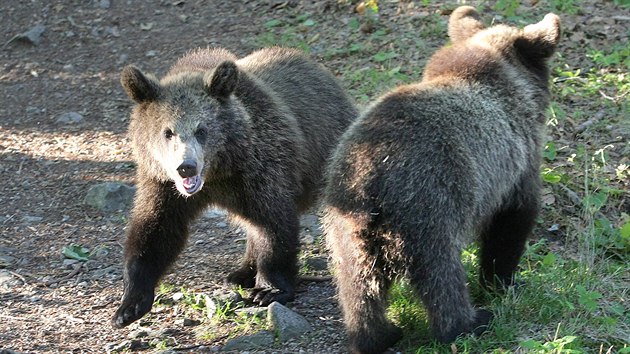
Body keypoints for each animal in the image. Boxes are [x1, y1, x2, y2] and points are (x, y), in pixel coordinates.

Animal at [112, 46, 360, 326]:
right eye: (168, 132)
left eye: (201, 130)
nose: (186, 167)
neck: (217, 173)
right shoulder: (163, 185)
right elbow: (154, 232)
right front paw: (129, 305)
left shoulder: (261, 169)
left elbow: (273, 224)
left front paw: (269, 289)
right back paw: (241, 272)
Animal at [324, 6, 560, 354]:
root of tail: (367, 176)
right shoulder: (515, 166)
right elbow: (511, 225)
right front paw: (503, 282)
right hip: (429, 201)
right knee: (440, 273)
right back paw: (470, 323)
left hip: (345, 223)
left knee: (357, 282)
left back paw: (377, 335)